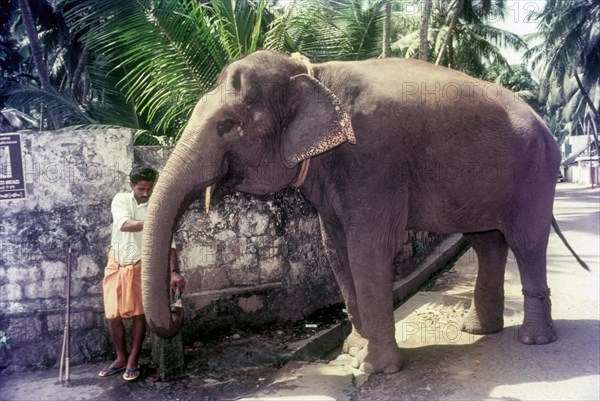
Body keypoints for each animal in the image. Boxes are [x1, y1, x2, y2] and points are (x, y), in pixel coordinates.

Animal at [143, 50, 564, 376]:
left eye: (228, 124)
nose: (177, 308)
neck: (314, 75)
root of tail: (544, 122)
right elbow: (336, 251)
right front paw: (352, 351)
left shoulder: (373, 160)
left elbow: (369, 250)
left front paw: (373, 369)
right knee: (486, 244)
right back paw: (477, 332)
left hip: (536, 173)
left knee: (526, 243)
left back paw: (534, 339)